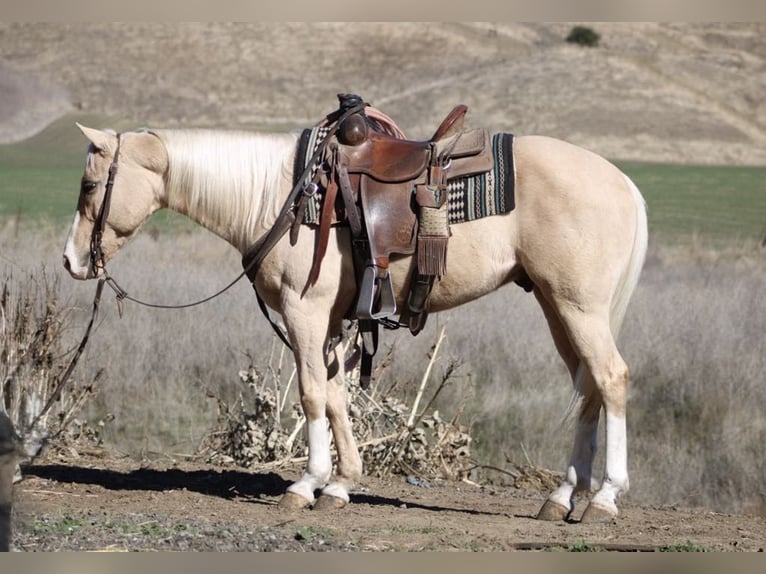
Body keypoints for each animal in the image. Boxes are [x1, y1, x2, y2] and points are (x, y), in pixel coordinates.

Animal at [62, 107, 648, 523]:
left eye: (89, 185)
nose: (70, 261)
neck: (283, 194)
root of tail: (624, 183)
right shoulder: (331, 324)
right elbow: (337, 396)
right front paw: (341, 485)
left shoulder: (304, 312)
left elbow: (311, 395)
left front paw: (306, 484)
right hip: (557, 305)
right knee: (587, 388)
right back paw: (562, 496)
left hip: (578, 306)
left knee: (610, 379)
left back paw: (605, 499)